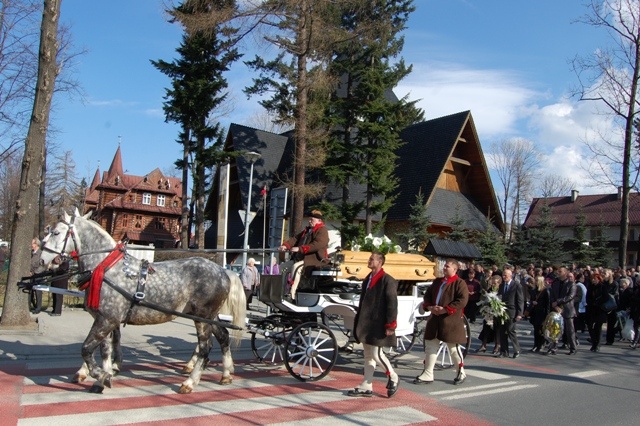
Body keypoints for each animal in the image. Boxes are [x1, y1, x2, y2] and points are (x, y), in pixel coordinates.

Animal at [40, 211, 245, 394]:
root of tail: (223, 271)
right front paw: (102, 377)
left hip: (202, 317)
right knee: (223, 336)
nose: (41, 259)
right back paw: (226, 374)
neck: (107, 267)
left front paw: (102, 375)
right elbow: (104, 350)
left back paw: (190, 382)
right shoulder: (104, 319)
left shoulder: (107, 319)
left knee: (205, 347)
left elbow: (86, 349)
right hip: (209, 316)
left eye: (56, 232)